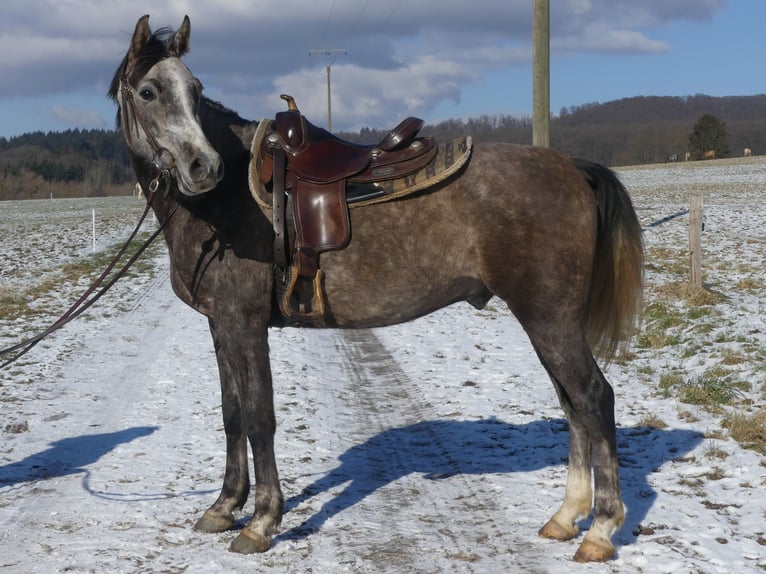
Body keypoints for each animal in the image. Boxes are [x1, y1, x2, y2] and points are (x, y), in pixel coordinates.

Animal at [108, 15, 644, 564]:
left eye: (195, 92)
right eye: (149, 91)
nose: (203, 167)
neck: (228, 197)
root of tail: (572, 167)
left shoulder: (245, 323)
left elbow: (260, 417)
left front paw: (261, 521)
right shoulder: (221, 325)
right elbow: (232, 413)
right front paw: (222, 507)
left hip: (549, 318)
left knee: (593, 399)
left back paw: (601, 530)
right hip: (547, 321)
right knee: (572, 404)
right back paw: (565, 518)